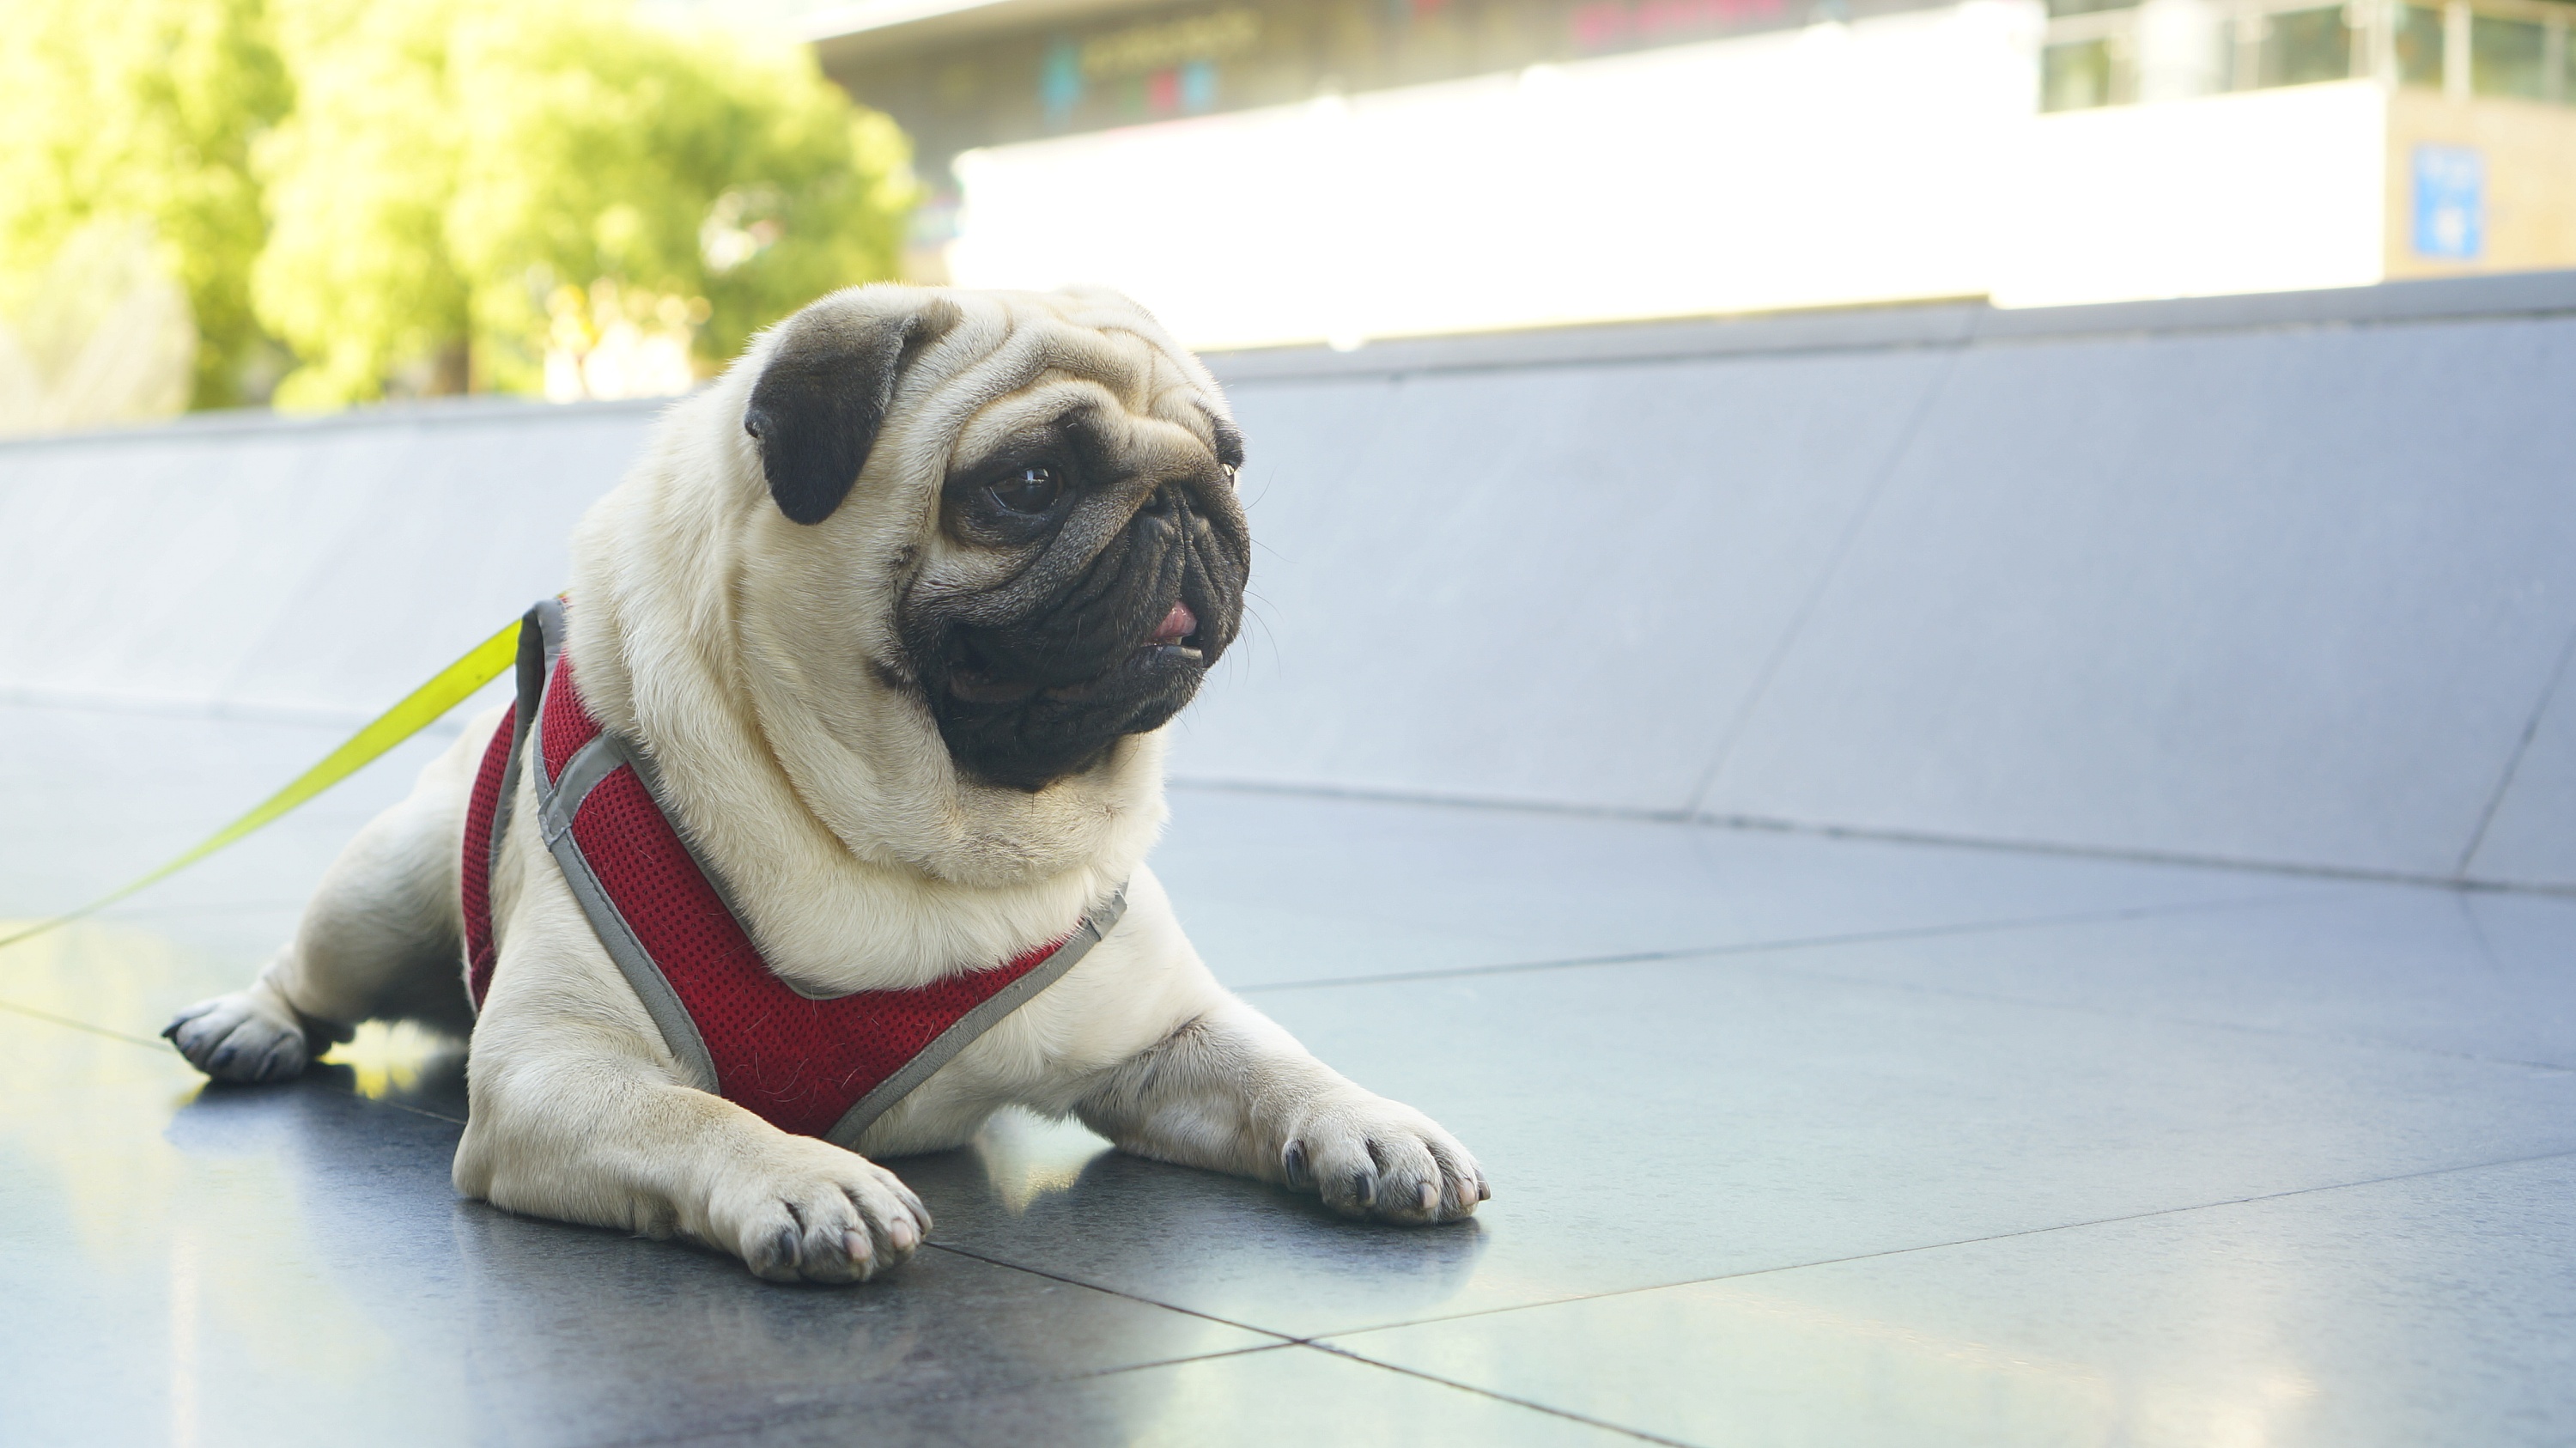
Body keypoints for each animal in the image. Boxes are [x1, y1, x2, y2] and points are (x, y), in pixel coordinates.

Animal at [166, 282, 1494, 1273]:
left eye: (1227, 458)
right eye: (1028, 483)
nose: (1187, 502)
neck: (928, 838)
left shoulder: (1165, 1032)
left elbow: (1275, 1062)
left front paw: (1372, 1125)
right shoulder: (559, 1075)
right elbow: (692, 1111)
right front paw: (806, 1177)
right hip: (384, 891)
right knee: (314, 972)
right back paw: (248, 1024)